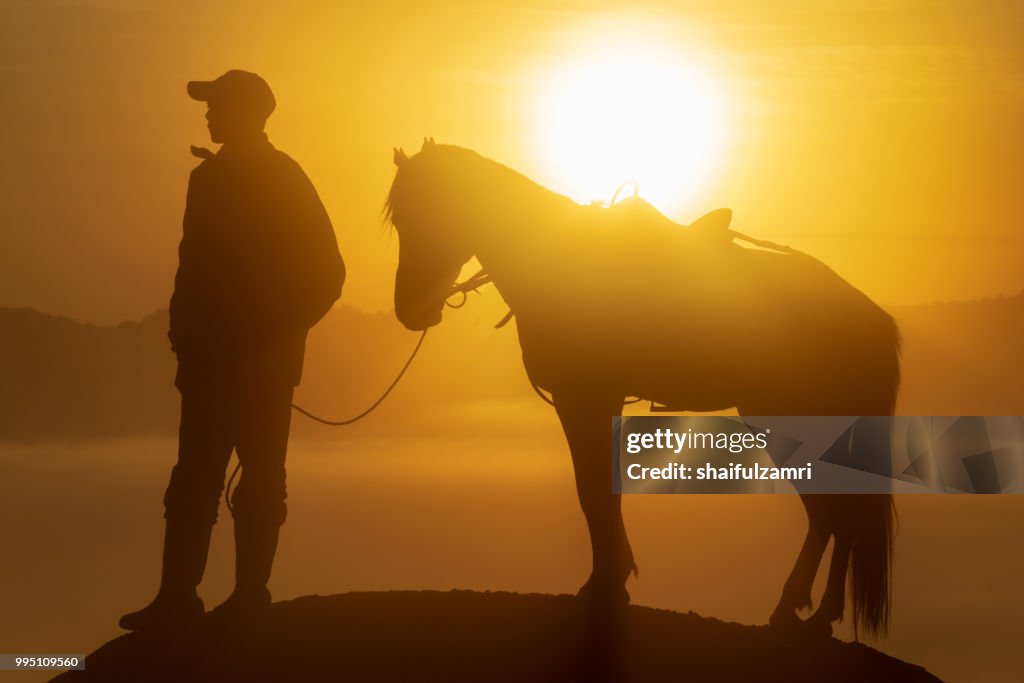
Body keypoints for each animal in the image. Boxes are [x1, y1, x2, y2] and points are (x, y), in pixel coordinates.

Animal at [385, 140, 897, 643]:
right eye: (400, 220)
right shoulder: (588, 402)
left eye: (434, 210)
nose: (410, 309)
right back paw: (812, 612)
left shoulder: (585, 399)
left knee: (833, 513)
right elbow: (598, 492)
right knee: (837, 513)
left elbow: (593, 493)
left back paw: (801, 610)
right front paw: (611, 580)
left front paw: (605, 586)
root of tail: (868, 313)